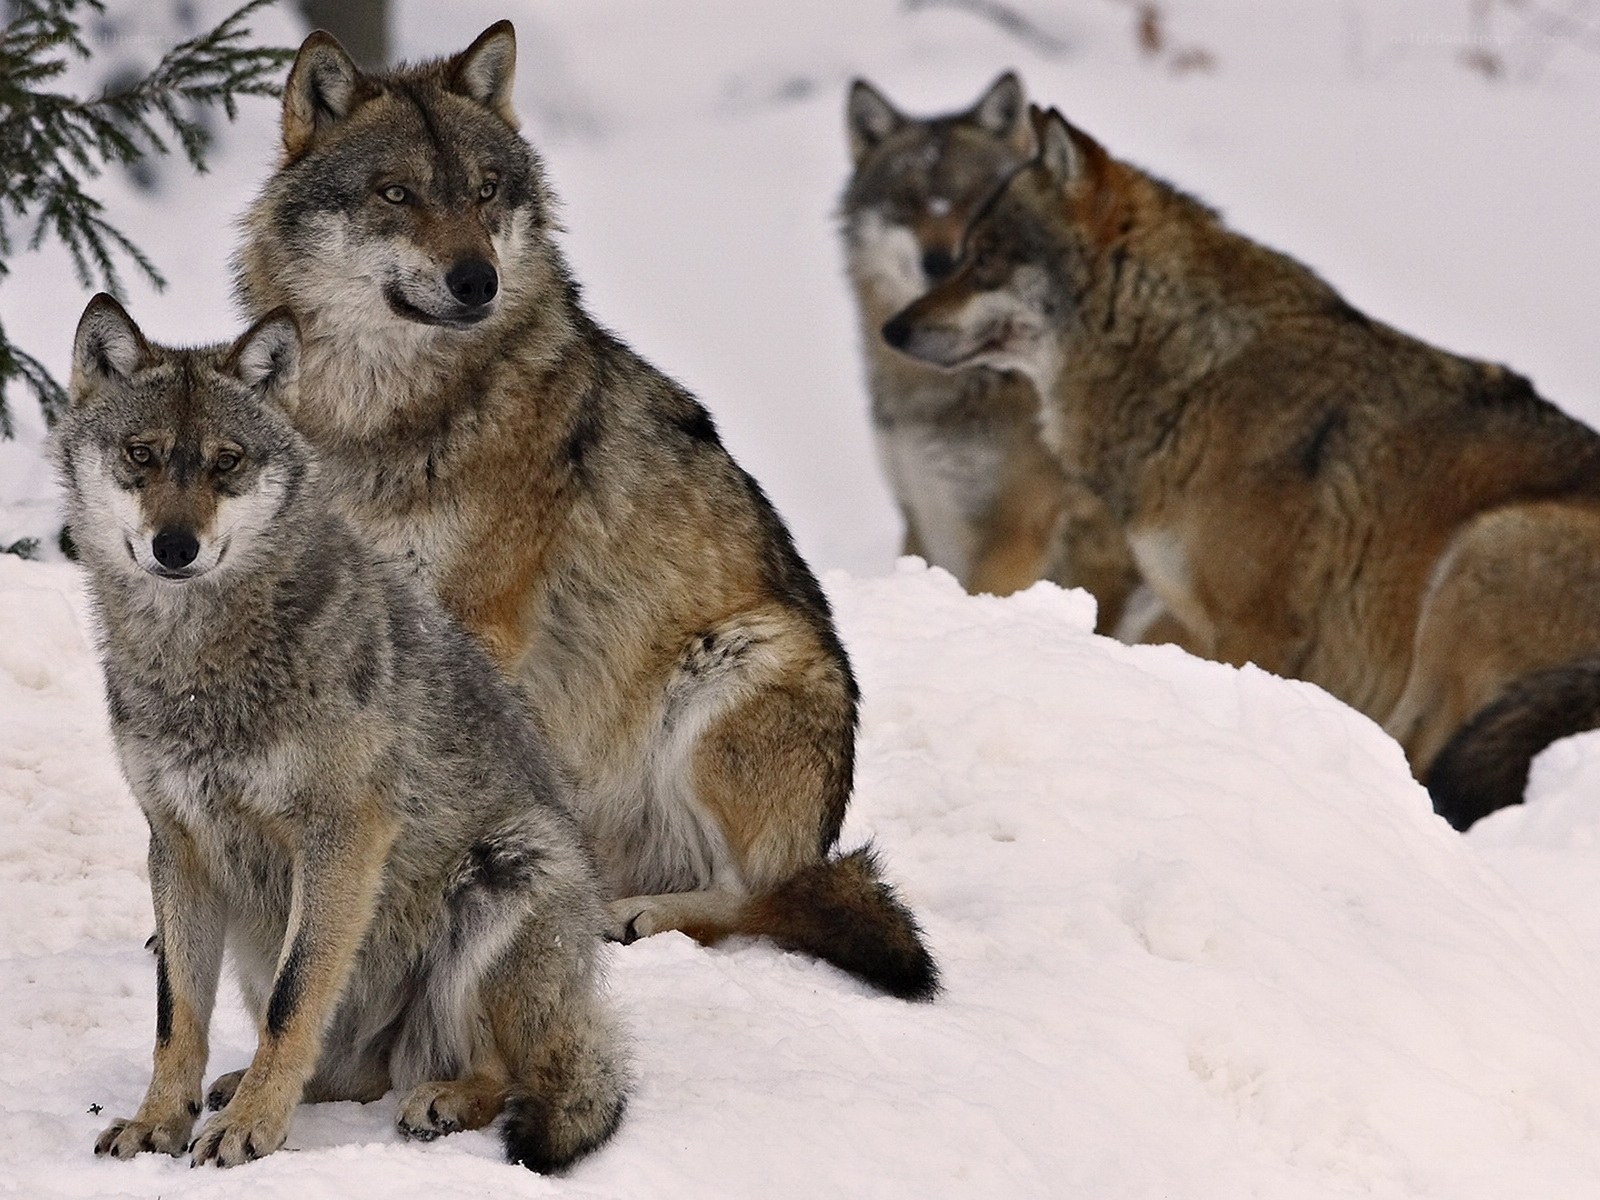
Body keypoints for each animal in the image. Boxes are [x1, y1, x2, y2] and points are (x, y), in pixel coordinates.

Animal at [61, 295, 627, 1171]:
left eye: (226, 462)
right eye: (141, 455)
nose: (174, 547)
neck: (200, 664)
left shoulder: (343, 834)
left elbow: (294, 1001)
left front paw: (251, 1132)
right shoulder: (177, 844)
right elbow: (176, 1015)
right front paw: (160, 1122)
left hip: (508, 871)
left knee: (506, 1073)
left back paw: (440, 1100)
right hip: (260, 934)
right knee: (351, 1073)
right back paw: (252, 1088)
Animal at [233, 24, 938, 998]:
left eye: (485, 191)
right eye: (395, 194)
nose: (477, 280)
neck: (378, 415)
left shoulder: (478, 622)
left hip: (738, 664)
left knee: (762, 901)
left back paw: (633, 917)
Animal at [884, 106, 1600, 831]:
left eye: (983, 260)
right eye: (965, 256)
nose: (893, 329)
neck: (1198, 374)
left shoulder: (1257, 627)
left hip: (1483, 555)